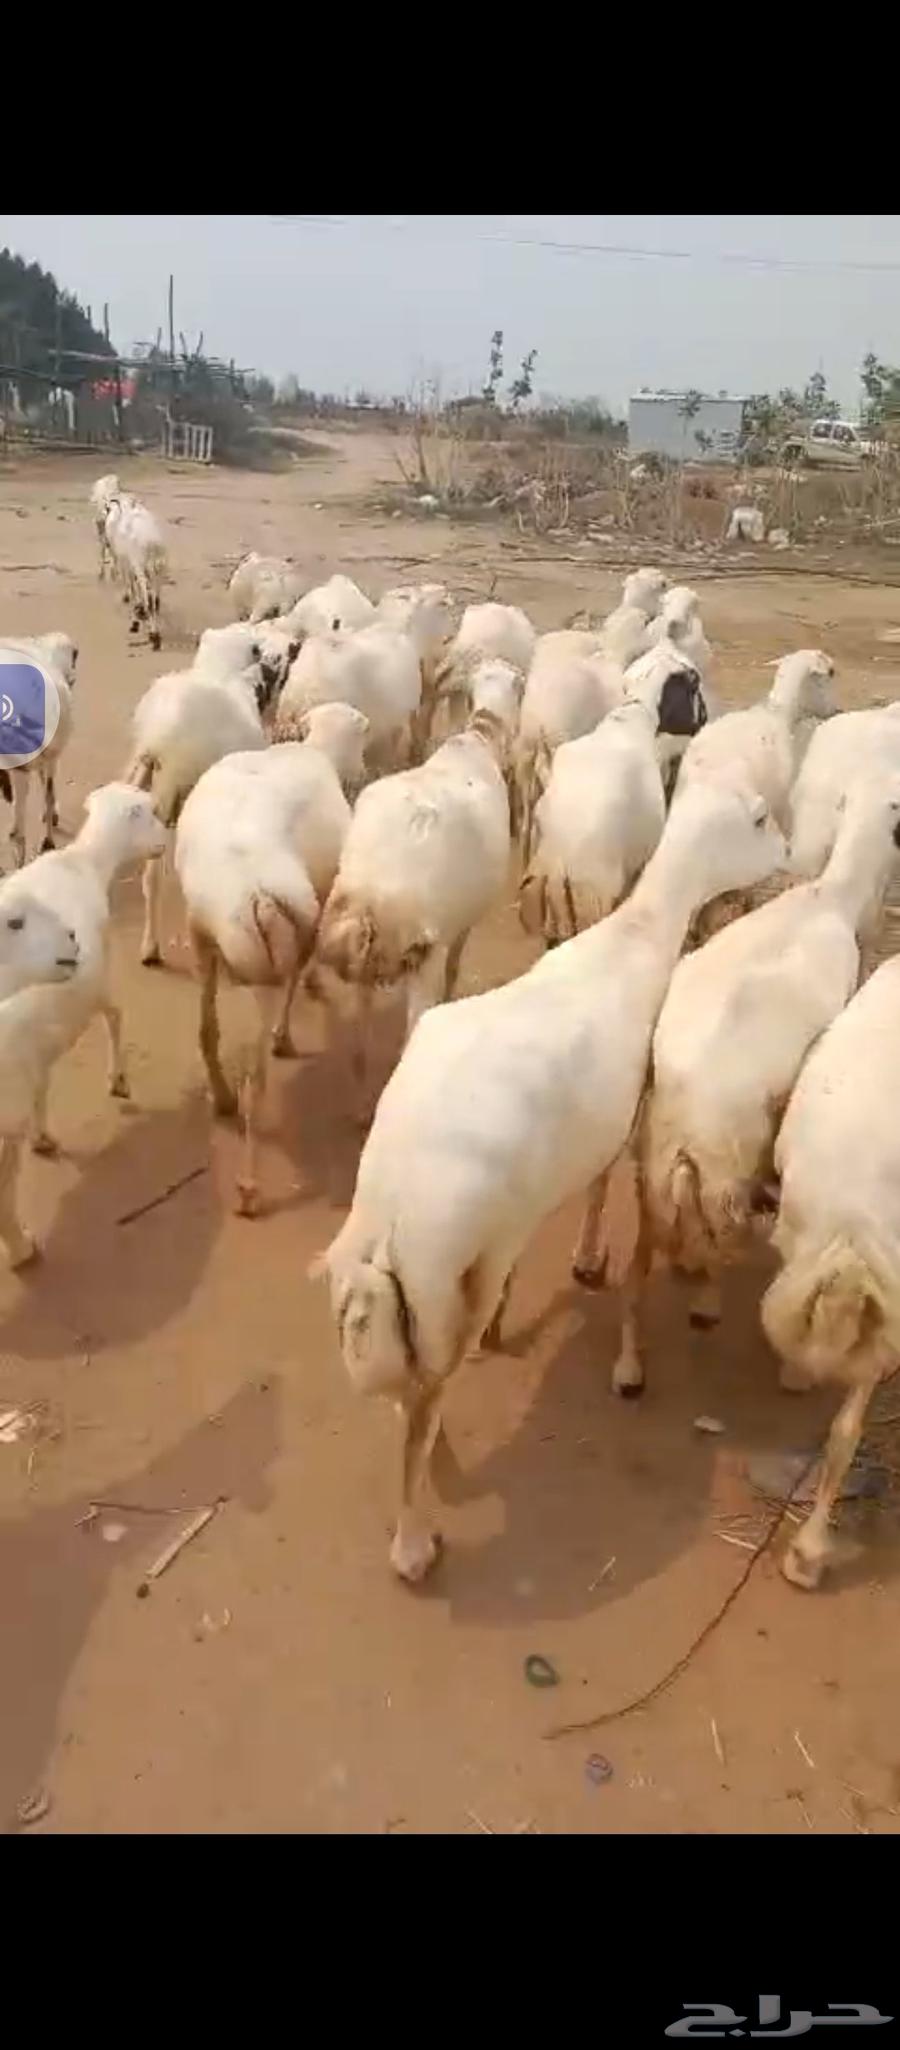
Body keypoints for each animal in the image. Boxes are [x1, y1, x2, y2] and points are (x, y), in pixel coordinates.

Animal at [0, 784, 166, 1266]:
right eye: (151, 812)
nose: (166, 838)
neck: (85, 861)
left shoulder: (35, 1047)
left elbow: (41, 1085)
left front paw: (43, 1135)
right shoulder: (98, 982)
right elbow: (116, 1015)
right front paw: (119, 1079)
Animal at [174, 740, 352, 1215]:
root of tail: (257, 895)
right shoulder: (310, 922)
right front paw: (287, 1031)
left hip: (205, 933)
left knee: (207, 1027)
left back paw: (221, 1099)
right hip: (266, 959)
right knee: (256, 1076)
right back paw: (249, 1188)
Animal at [314, 704, 513, 1107]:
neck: (476, 741)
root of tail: (371, 900)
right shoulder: (456, 932)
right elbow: (455, 965)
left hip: (369, 959)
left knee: (360, 1031)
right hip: (422, 955)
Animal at [315, 776, 784, 1581]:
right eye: (758, 820)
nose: (787, 858)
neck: (633, 938)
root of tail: (391, 1207)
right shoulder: (621, 1119)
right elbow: (600, 1189)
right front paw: (591, 1260)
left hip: (412, 1292)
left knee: (414, 1384)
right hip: (462, 1262)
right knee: (426, 1399)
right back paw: (415, 1544)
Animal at [590, 772, 900, 1400]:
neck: (830, 895)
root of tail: (690, 1134)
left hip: (653, 1165)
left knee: (639, 1263)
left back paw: (630, 1366)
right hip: (725, 1175)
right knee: (716, 1250)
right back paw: (704, 1307)